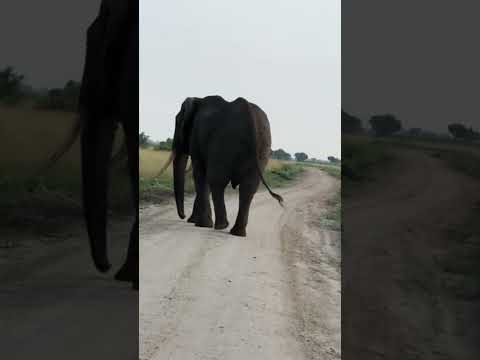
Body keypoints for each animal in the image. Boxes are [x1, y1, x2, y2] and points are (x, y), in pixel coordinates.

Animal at [159, 95, 284, 236]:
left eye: (177, 123)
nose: (183, 216)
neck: (198, 100)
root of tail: (248, 112)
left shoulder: (197, 136)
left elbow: (200, 175)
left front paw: (200, 224)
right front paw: (195, 221)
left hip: (223, 142)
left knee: (217, 181)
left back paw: (220, 226)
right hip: (262, 146)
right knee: (248, 187)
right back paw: (236, 232)